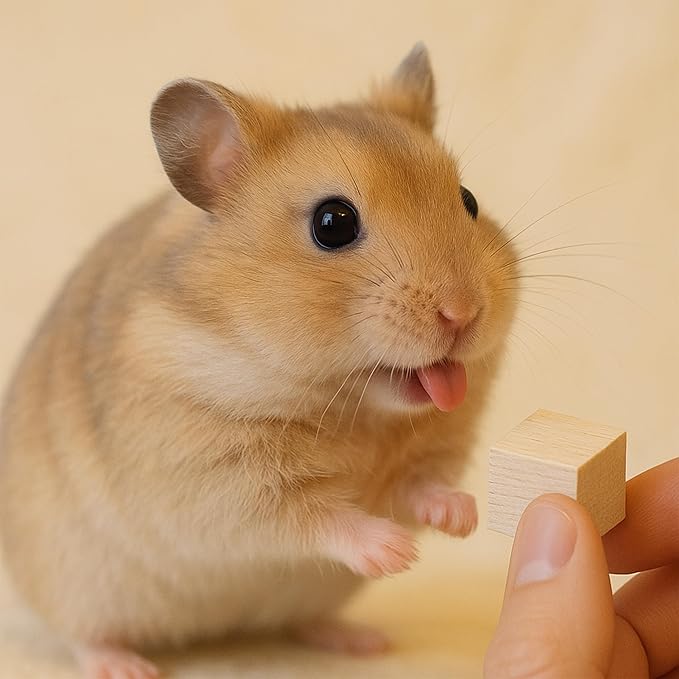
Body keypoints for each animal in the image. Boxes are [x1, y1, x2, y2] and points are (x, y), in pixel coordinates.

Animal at [0, 43, 517, 678]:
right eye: (333, 223)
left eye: (469, 201)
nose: (463, 314)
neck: (350, 405)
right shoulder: (214, 480)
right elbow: (310, 514)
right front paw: (396, 553)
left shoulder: (422, 458)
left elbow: (418, 487)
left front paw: (462, 518)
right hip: (73, 587)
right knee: (80, 635)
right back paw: (127, 666)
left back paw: (363, 640)